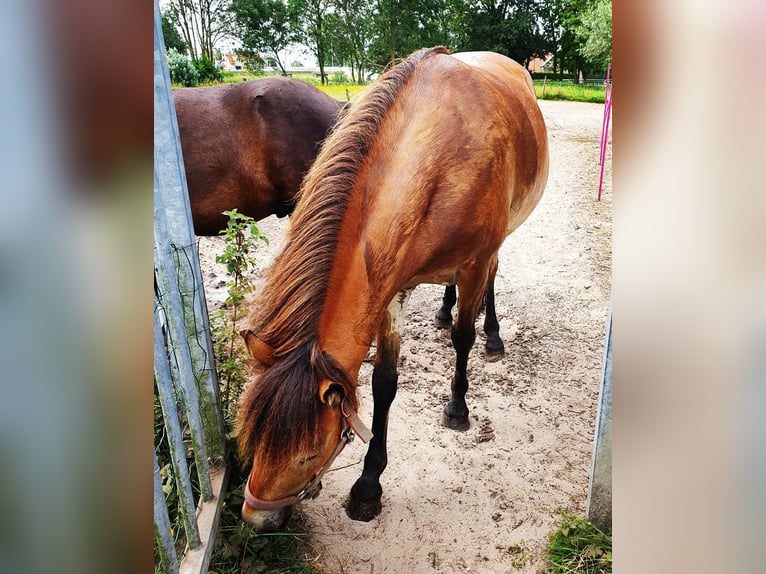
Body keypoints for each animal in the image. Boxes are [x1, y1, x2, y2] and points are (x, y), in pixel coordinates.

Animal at [235, 46, 549, 530]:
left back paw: (493, 335)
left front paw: (458, 407)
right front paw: (368, 485)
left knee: (492, 279)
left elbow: (463, 337)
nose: (256, 520)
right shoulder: (391, 287)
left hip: (499, 243)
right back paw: (443, 310)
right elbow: (384, 380)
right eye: (254, 440)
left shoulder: (474, 263)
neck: (441, 156)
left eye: (307, 454)